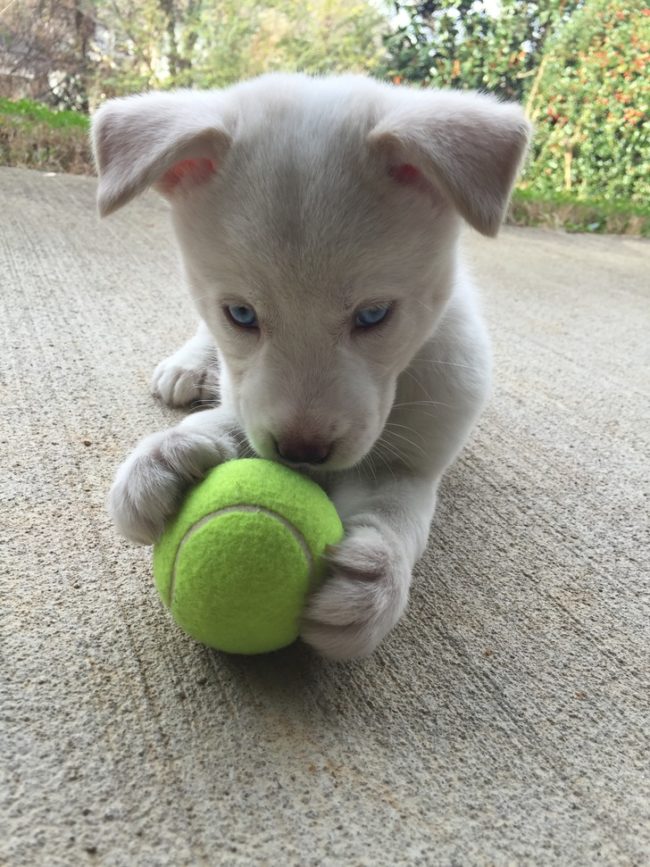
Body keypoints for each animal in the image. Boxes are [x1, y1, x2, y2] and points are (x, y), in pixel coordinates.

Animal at [92, 74, 528, 660]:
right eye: (240, 314)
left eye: (374, 315)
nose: (302, 453)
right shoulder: (252, 397)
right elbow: (234, 412)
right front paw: (165, 456)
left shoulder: (412, 463)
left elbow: (396, 513)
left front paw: (375, 580)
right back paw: (188, 365)